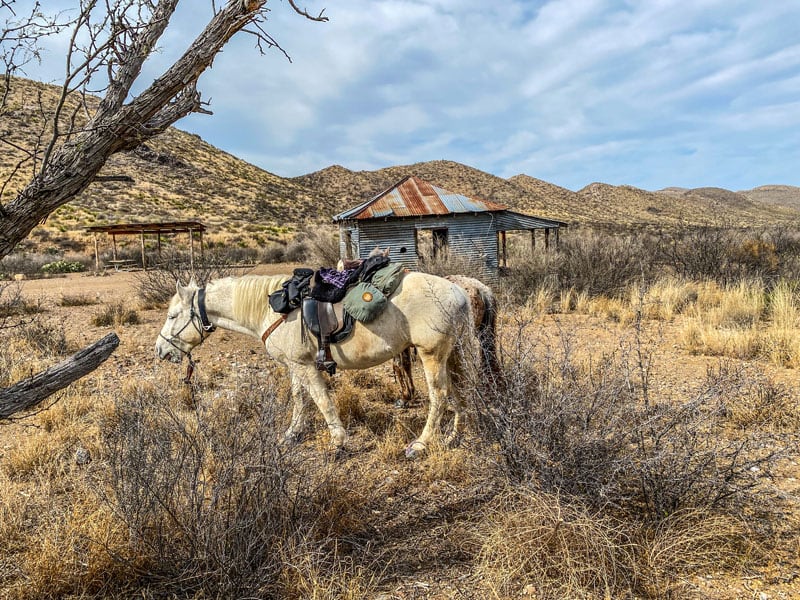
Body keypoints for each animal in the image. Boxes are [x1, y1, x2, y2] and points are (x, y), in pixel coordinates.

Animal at [157, 270, 482, 454]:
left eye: (172, 316)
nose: (160, 350)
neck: (272, 309)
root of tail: (458, 290)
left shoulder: (305, 366)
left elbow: (321, 400)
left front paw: (338, 440)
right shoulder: (295, 365)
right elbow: (300, 399)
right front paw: (291, 434)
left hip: (432, 355)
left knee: (440, 396)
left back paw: (421, 444)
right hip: (453, 353)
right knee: (461, 393)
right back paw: (454, 437)